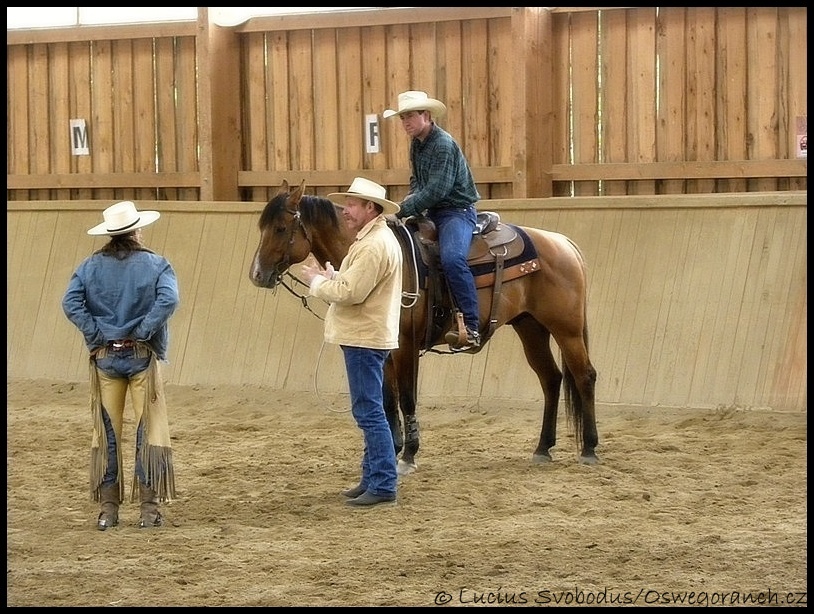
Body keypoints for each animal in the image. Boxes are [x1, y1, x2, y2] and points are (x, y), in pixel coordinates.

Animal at [249, 180, 600, 474]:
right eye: (261, 227)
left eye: (280, 227)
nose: (257, 275)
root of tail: (563, 243)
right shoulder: (384, 347)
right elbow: (388, 401)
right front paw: (392, 449)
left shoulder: (405, 345)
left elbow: (406, 398)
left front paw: (408, 455)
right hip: (530, 328)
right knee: (551, 379)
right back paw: (542, 448)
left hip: (566, 329)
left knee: (584, 376)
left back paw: (590, 449)